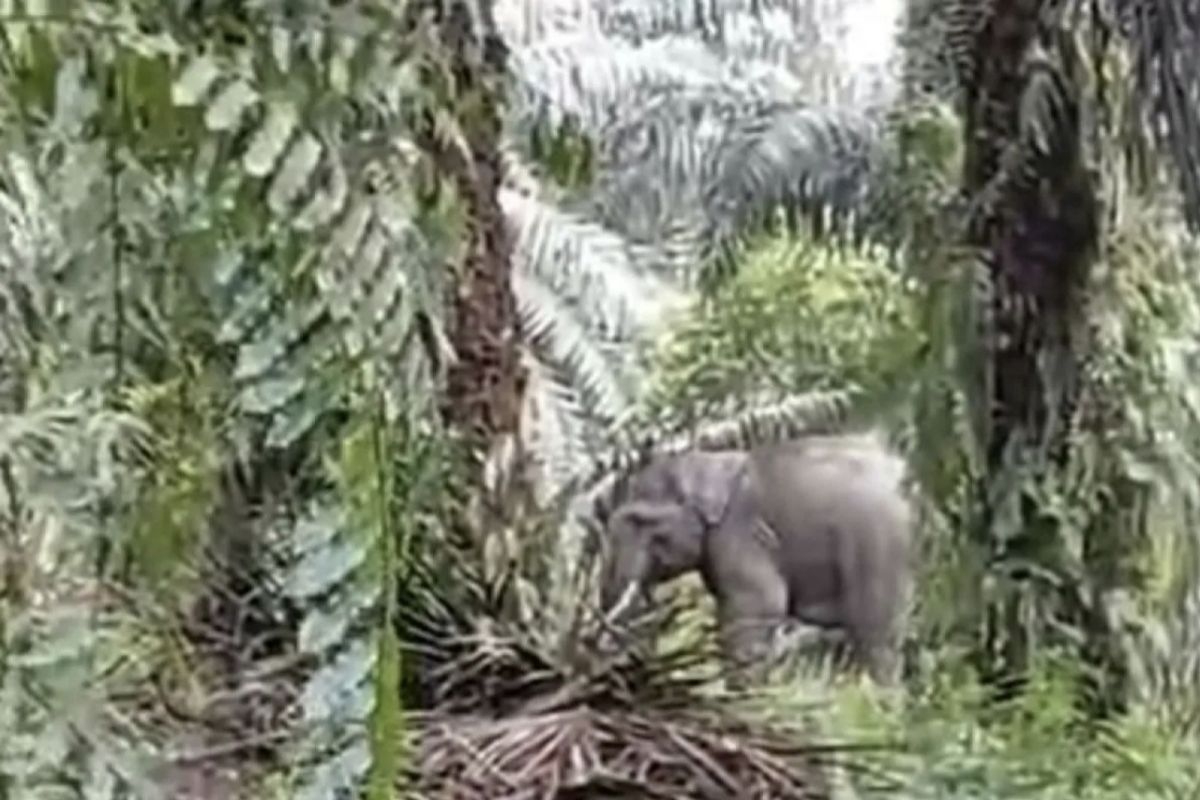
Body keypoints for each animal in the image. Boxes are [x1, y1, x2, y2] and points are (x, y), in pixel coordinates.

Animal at [595, 434, 912, 686]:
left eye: (638, 520)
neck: (704, 462)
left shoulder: (739, 530)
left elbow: (760, 603)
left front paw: (742, 695)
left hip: (877, 541)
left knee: (875, 635)